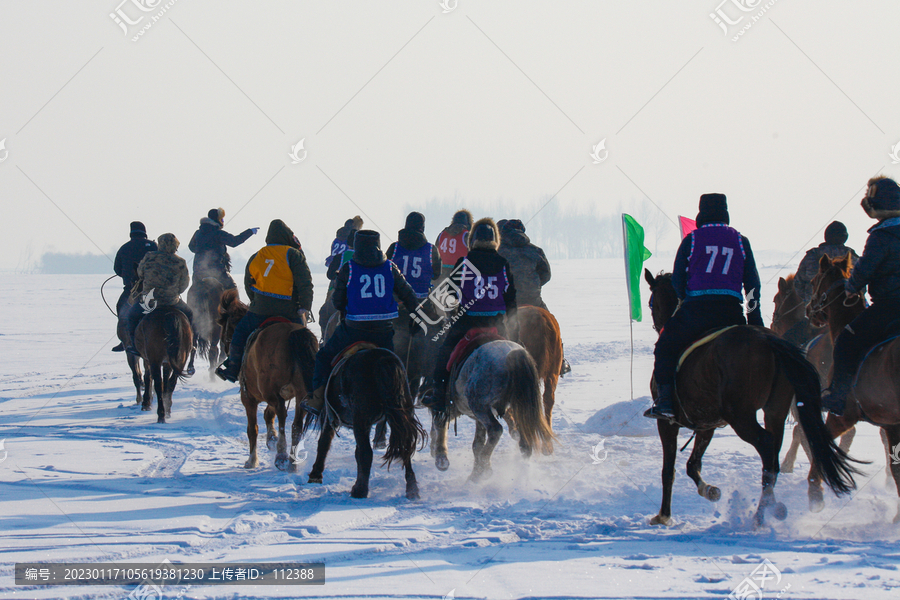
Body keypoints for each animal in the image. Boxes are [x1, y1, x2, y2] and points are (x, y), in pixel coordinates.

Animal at [294, 346, 424, 502]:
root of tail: (383, 360)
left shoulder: (330, 418)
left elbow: (324, 444)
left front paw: (315, 475)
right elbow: (356, 453)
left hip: (360, 420)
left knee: (367, 452)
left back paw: (360, 491)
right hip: (400, 415)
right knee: (405, 448)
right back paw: (412, 490)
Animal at [430, 340, 556, 480]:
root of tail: (514, 354)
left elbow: (441, 425)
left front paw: (440, 456)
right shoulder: (477, 418)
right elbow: (477, 444)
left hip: (479, 406)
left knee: (496, 430)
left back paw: (479, 473)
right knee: (524, 441)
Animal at [644, 270, 860, 528]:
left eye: (651, 303)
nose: (659, 326)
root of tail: (769, 341)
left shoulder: (667, 423)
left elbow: (669, 470)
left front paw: (664, 515)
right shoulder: (707, 424)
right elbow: (692, 465)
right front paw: (710, 490)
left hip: (741, 417)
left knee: (767, 445)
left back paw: (761, 513)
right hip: (774, 412)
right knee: (773, 455)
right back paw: (772, 506)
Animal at [804, 253, 896, 520]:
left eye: (814, 281)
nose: (808, 310)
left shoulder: (842, 416)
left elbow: (821, 445)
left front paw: (815, 495)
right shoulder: (891, 425)